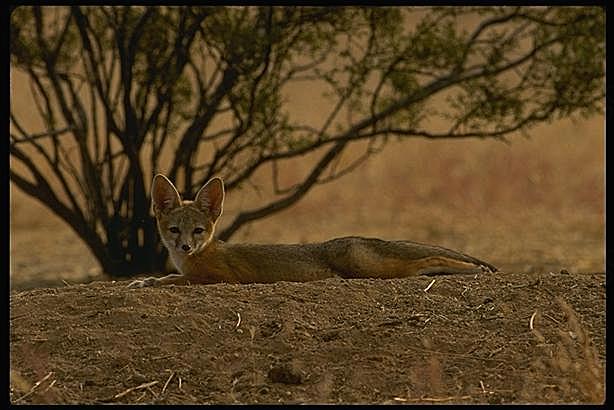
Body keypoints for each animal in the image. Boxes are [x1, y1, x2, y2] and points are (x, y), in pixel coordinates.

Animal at [127, 174, 498, 288]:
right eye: (174, 230)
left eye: (198, 231)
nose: (185, 248)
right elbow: (169, 276)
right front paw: (146, 279)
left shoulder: (220, 278)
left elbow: (174, 280)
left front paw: (149, 281)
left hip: (368, 268)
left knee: (427, 259)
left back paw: (473, 269)